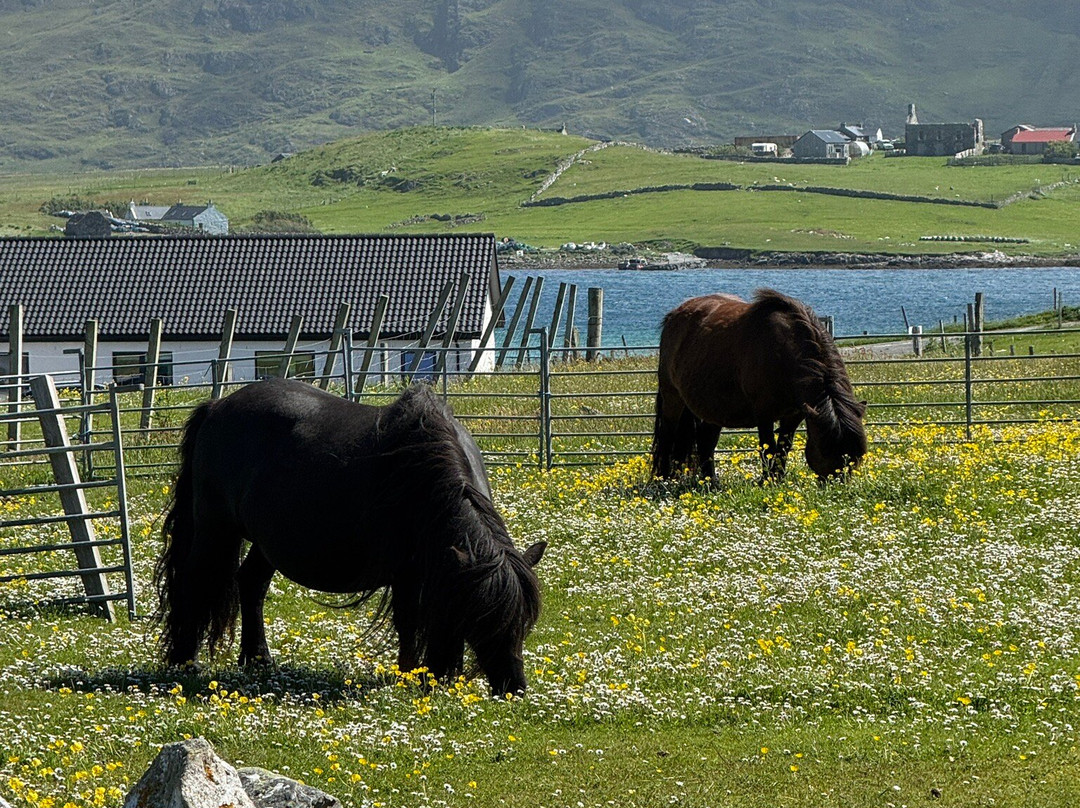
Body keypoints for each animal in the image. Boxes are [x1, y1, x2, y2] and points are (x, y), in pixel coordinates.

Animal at [153, 379, 546, 697]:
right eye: (485, 621)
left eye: (524, 622)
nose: (514, 688)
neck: (425, 475)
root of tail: (216, 406)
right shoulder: (406, 574)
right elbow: (408, 623)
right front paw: (411, 674)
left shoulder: (441, 571)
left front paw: (437, 675)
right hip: (215, 529)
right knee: (195, 584)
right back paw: (185, 663)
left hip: (267, 543)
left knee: (251, 584)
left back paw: (259, 660)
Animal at [651, 289, 867, 483]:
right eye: (825, 449)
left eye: (856, 456)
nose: (837, 485)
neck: (784, 354)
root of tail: (674, 315)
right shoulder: (764, 413)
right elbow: (768, 447)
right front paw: (767, 481)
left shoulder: (794, 415)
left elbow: (783, 448)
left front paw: (777, 479)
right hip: (673, 398)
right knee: (667, 436)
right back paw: (663, 480)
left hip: (714, 408)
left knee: (706, 442)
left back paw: (711, 482)